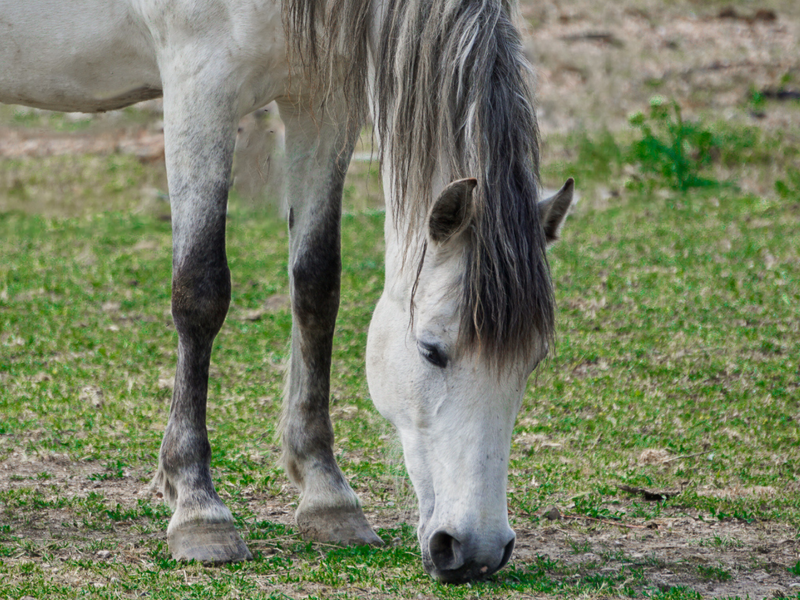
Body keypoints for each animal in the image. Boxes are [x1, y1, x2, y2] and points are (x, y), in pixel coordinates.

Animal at [0, 0, 574, 584]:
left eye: (532, 362)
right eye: (431, 351)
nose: (476, 551)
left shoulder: (322, 101)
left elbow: (317, 285)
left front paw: (328, 496)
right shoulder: (199, 85)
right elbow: (200, 291)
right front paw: (198, 507)